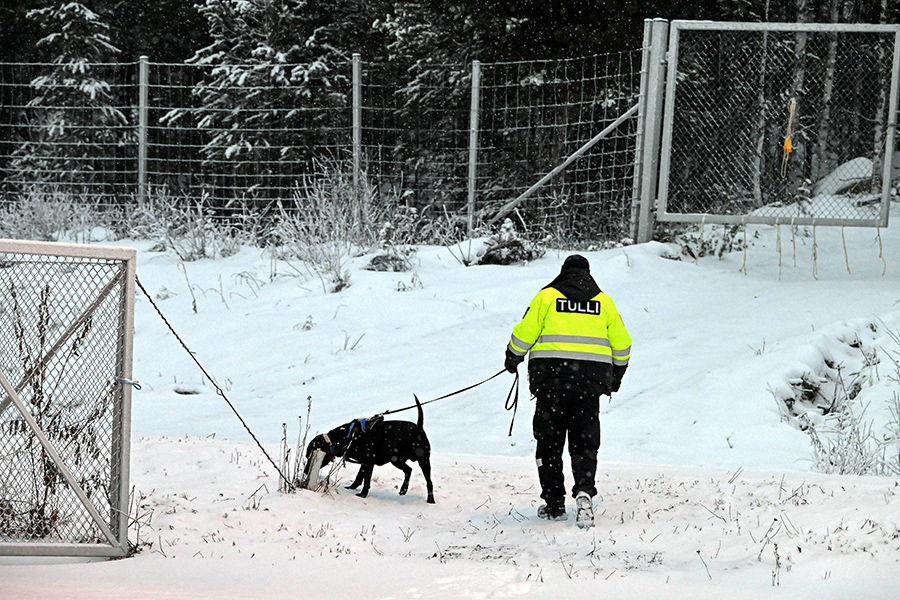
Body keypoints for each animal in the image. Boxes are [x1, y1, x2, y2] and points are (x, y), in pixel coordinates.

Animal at [306, 396, 436, 504]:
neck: (347, 437)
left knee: (423, 478)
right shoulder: (365, 462)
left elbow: (366, 480)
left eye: (310, 457)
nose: (306, 471)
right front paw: (351, 488)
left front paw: (362, 495)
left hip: (410, 459)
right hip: (406, 460)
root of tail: (419, 429)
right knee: (413, 472)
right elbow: (359, 476)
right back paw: (409, 492)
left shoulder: (369, 461)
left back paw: (425, 498)